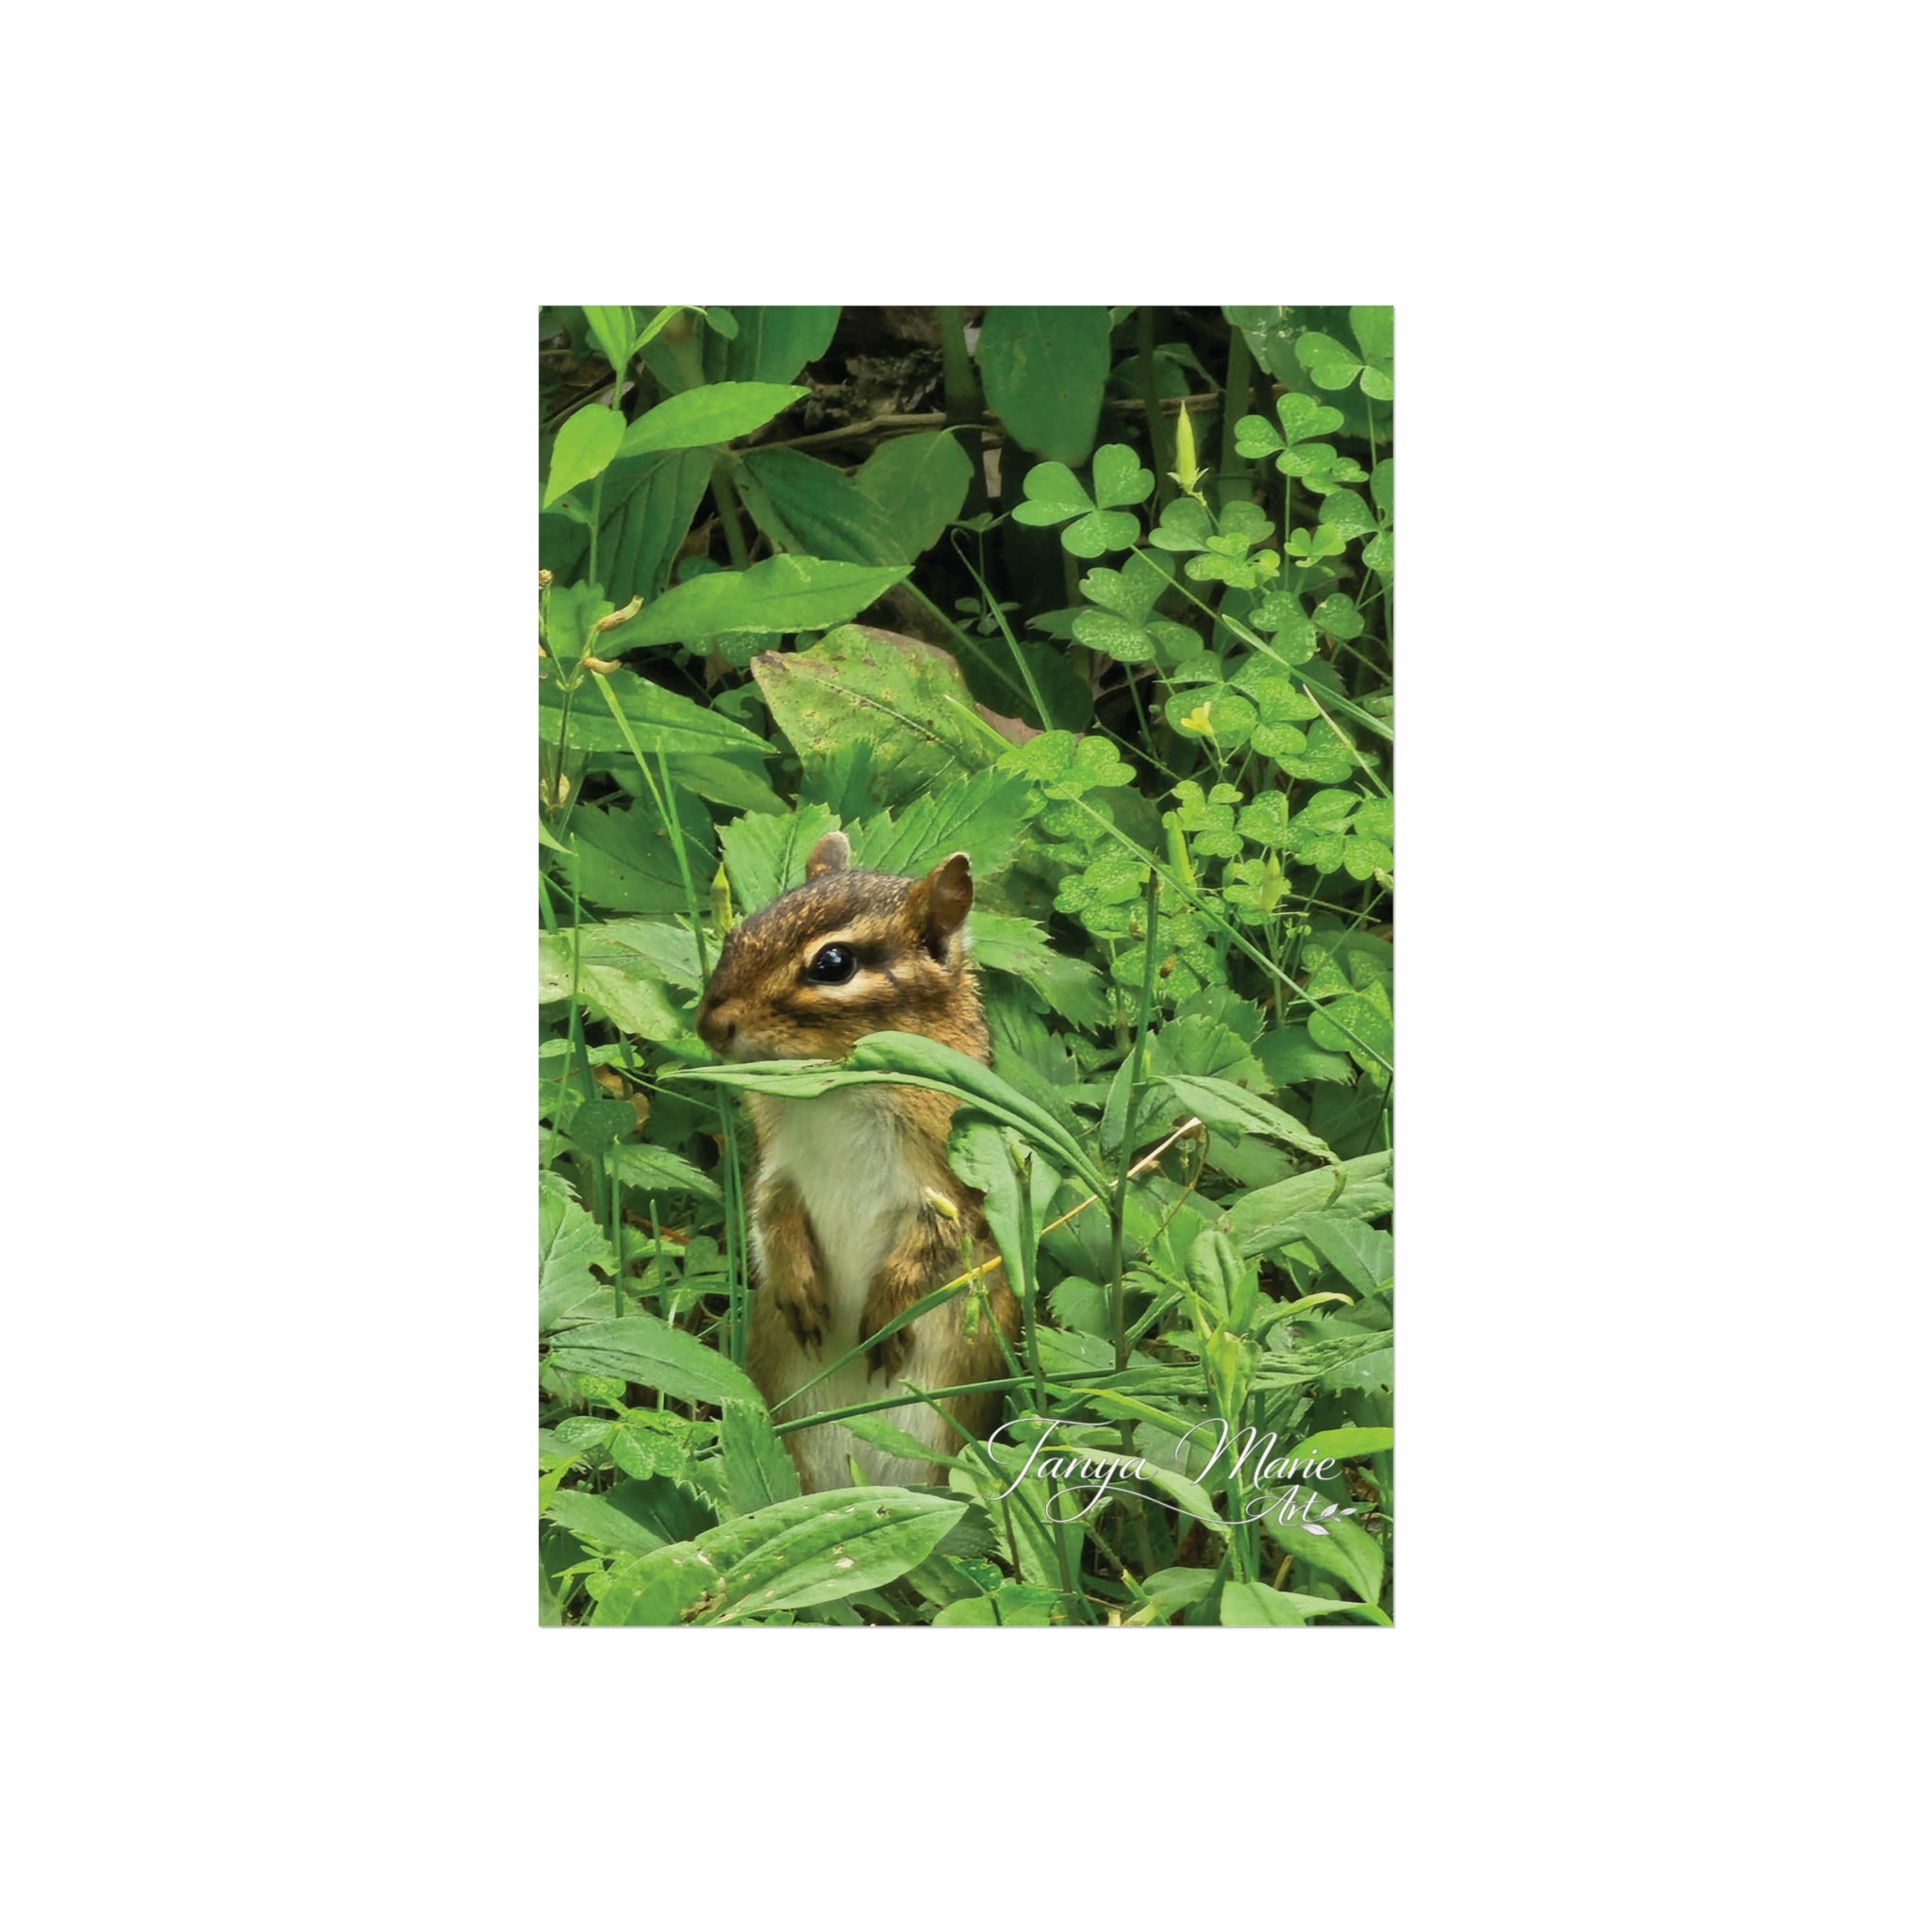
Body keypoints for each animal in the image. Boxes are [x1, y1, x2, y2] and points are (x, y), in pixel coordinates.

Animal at [695, 831, 1020, 1493]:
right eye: (741, 931)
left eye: (833, 964)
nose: (709, 1024)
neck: (834, 1092)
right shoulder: (777, 1166)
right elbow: (769, 1214)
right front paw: (796, 1285)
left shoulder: (950, 1185)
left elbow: (934, 1247)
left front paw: (887, 1315)